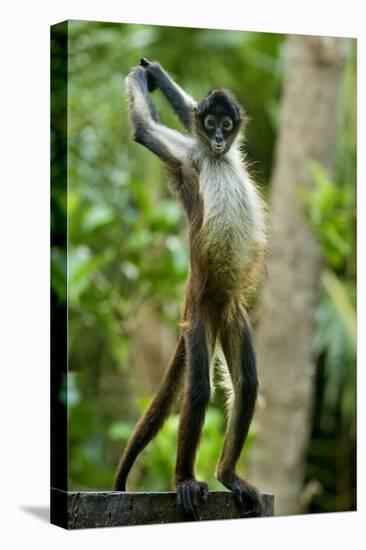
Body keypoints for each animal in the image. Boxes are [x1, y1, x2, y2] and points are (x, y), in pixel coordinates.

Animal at [116, 60, 268, 520]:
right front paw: (142, 76)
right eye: (212, 124)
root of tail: (207, 301)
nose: (218, 138)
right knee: (198, 390)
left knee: (248, 383)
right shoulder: (188, 160)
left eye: (226, 124)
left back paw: (227, 474)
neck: (217, 160)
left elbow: (183, 110)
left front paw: (156, 75)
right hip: (199, 319)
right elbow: (145, 130)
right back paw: (185, 479)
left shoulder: (226, 152)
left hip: (232, 315)